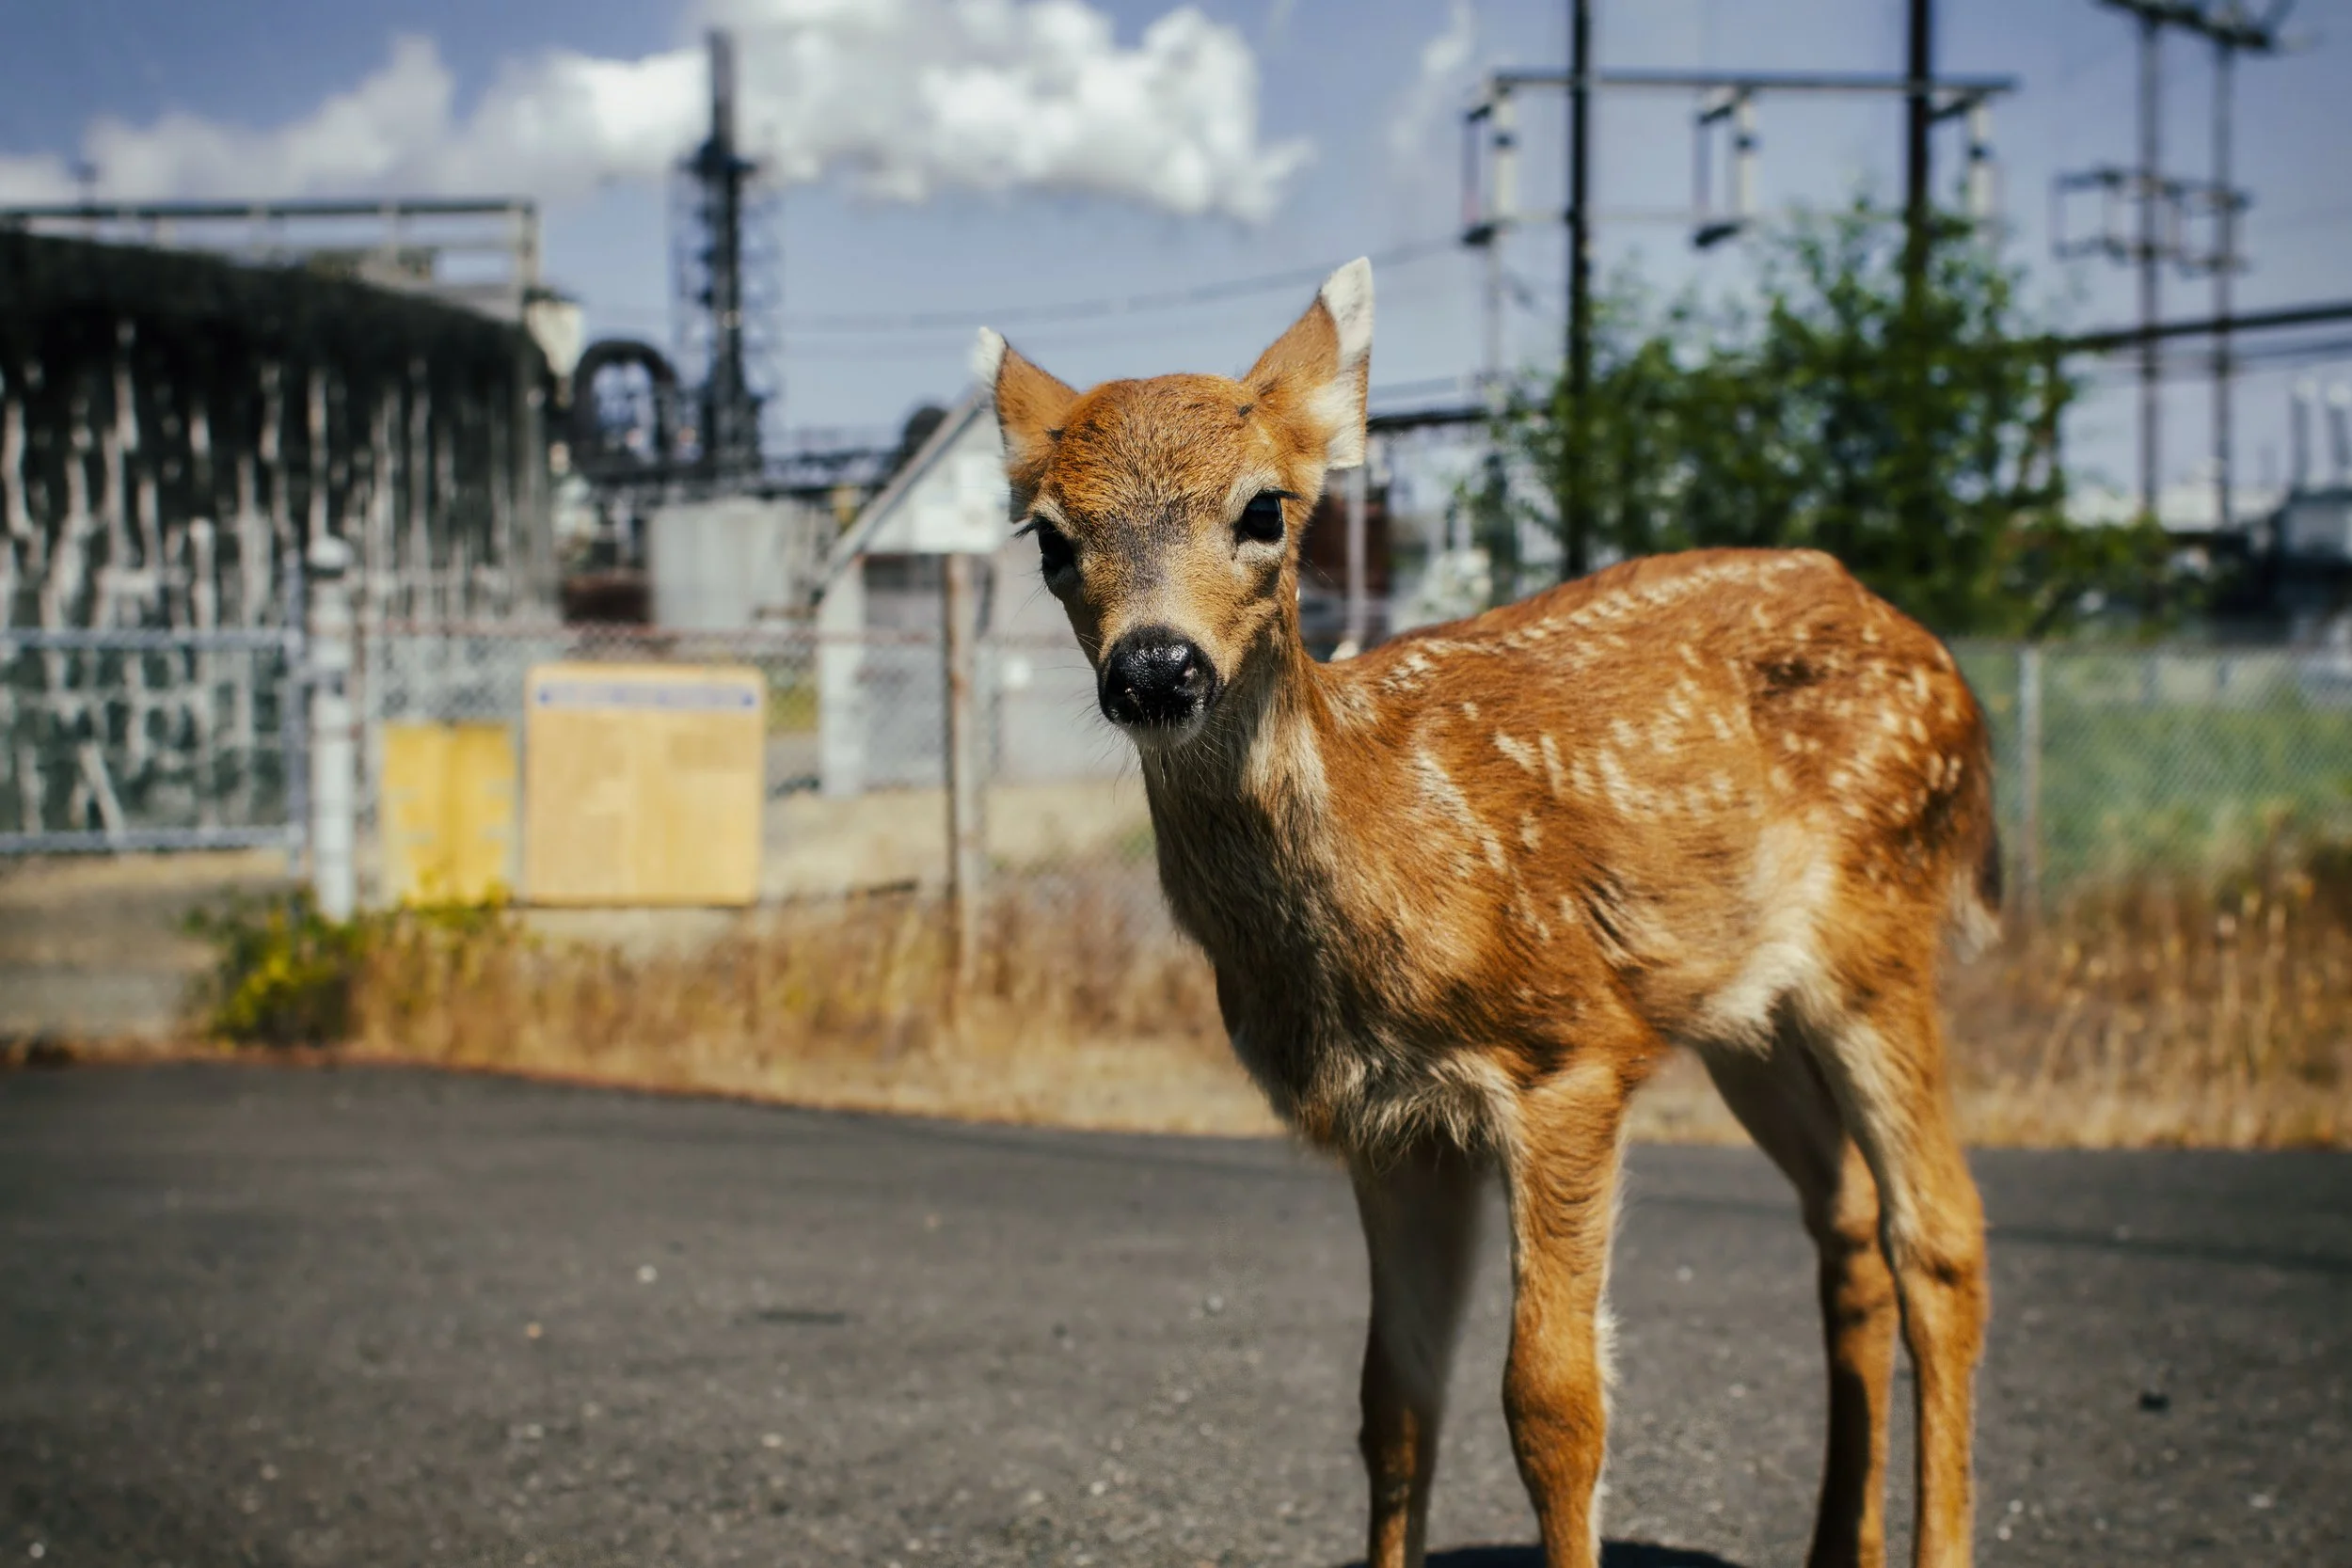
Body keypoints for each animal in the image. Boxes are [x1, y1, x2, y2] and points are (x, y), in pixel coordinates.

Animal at [974, 258, 1997, 1568]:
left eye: (1264, 510)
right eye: (1052, 536)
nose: (1156, 668)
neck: (1392, 856)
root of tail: (1946, 672)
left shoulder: (1568, 1054)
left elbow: (1553, 1401)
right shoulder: (1390, 1121)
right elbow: (1394, 1401)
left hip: (1881, 927)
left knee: (1943, 1234)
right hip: (1745, 1014)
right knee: (1851, 1223)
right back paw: (1836, 1545)